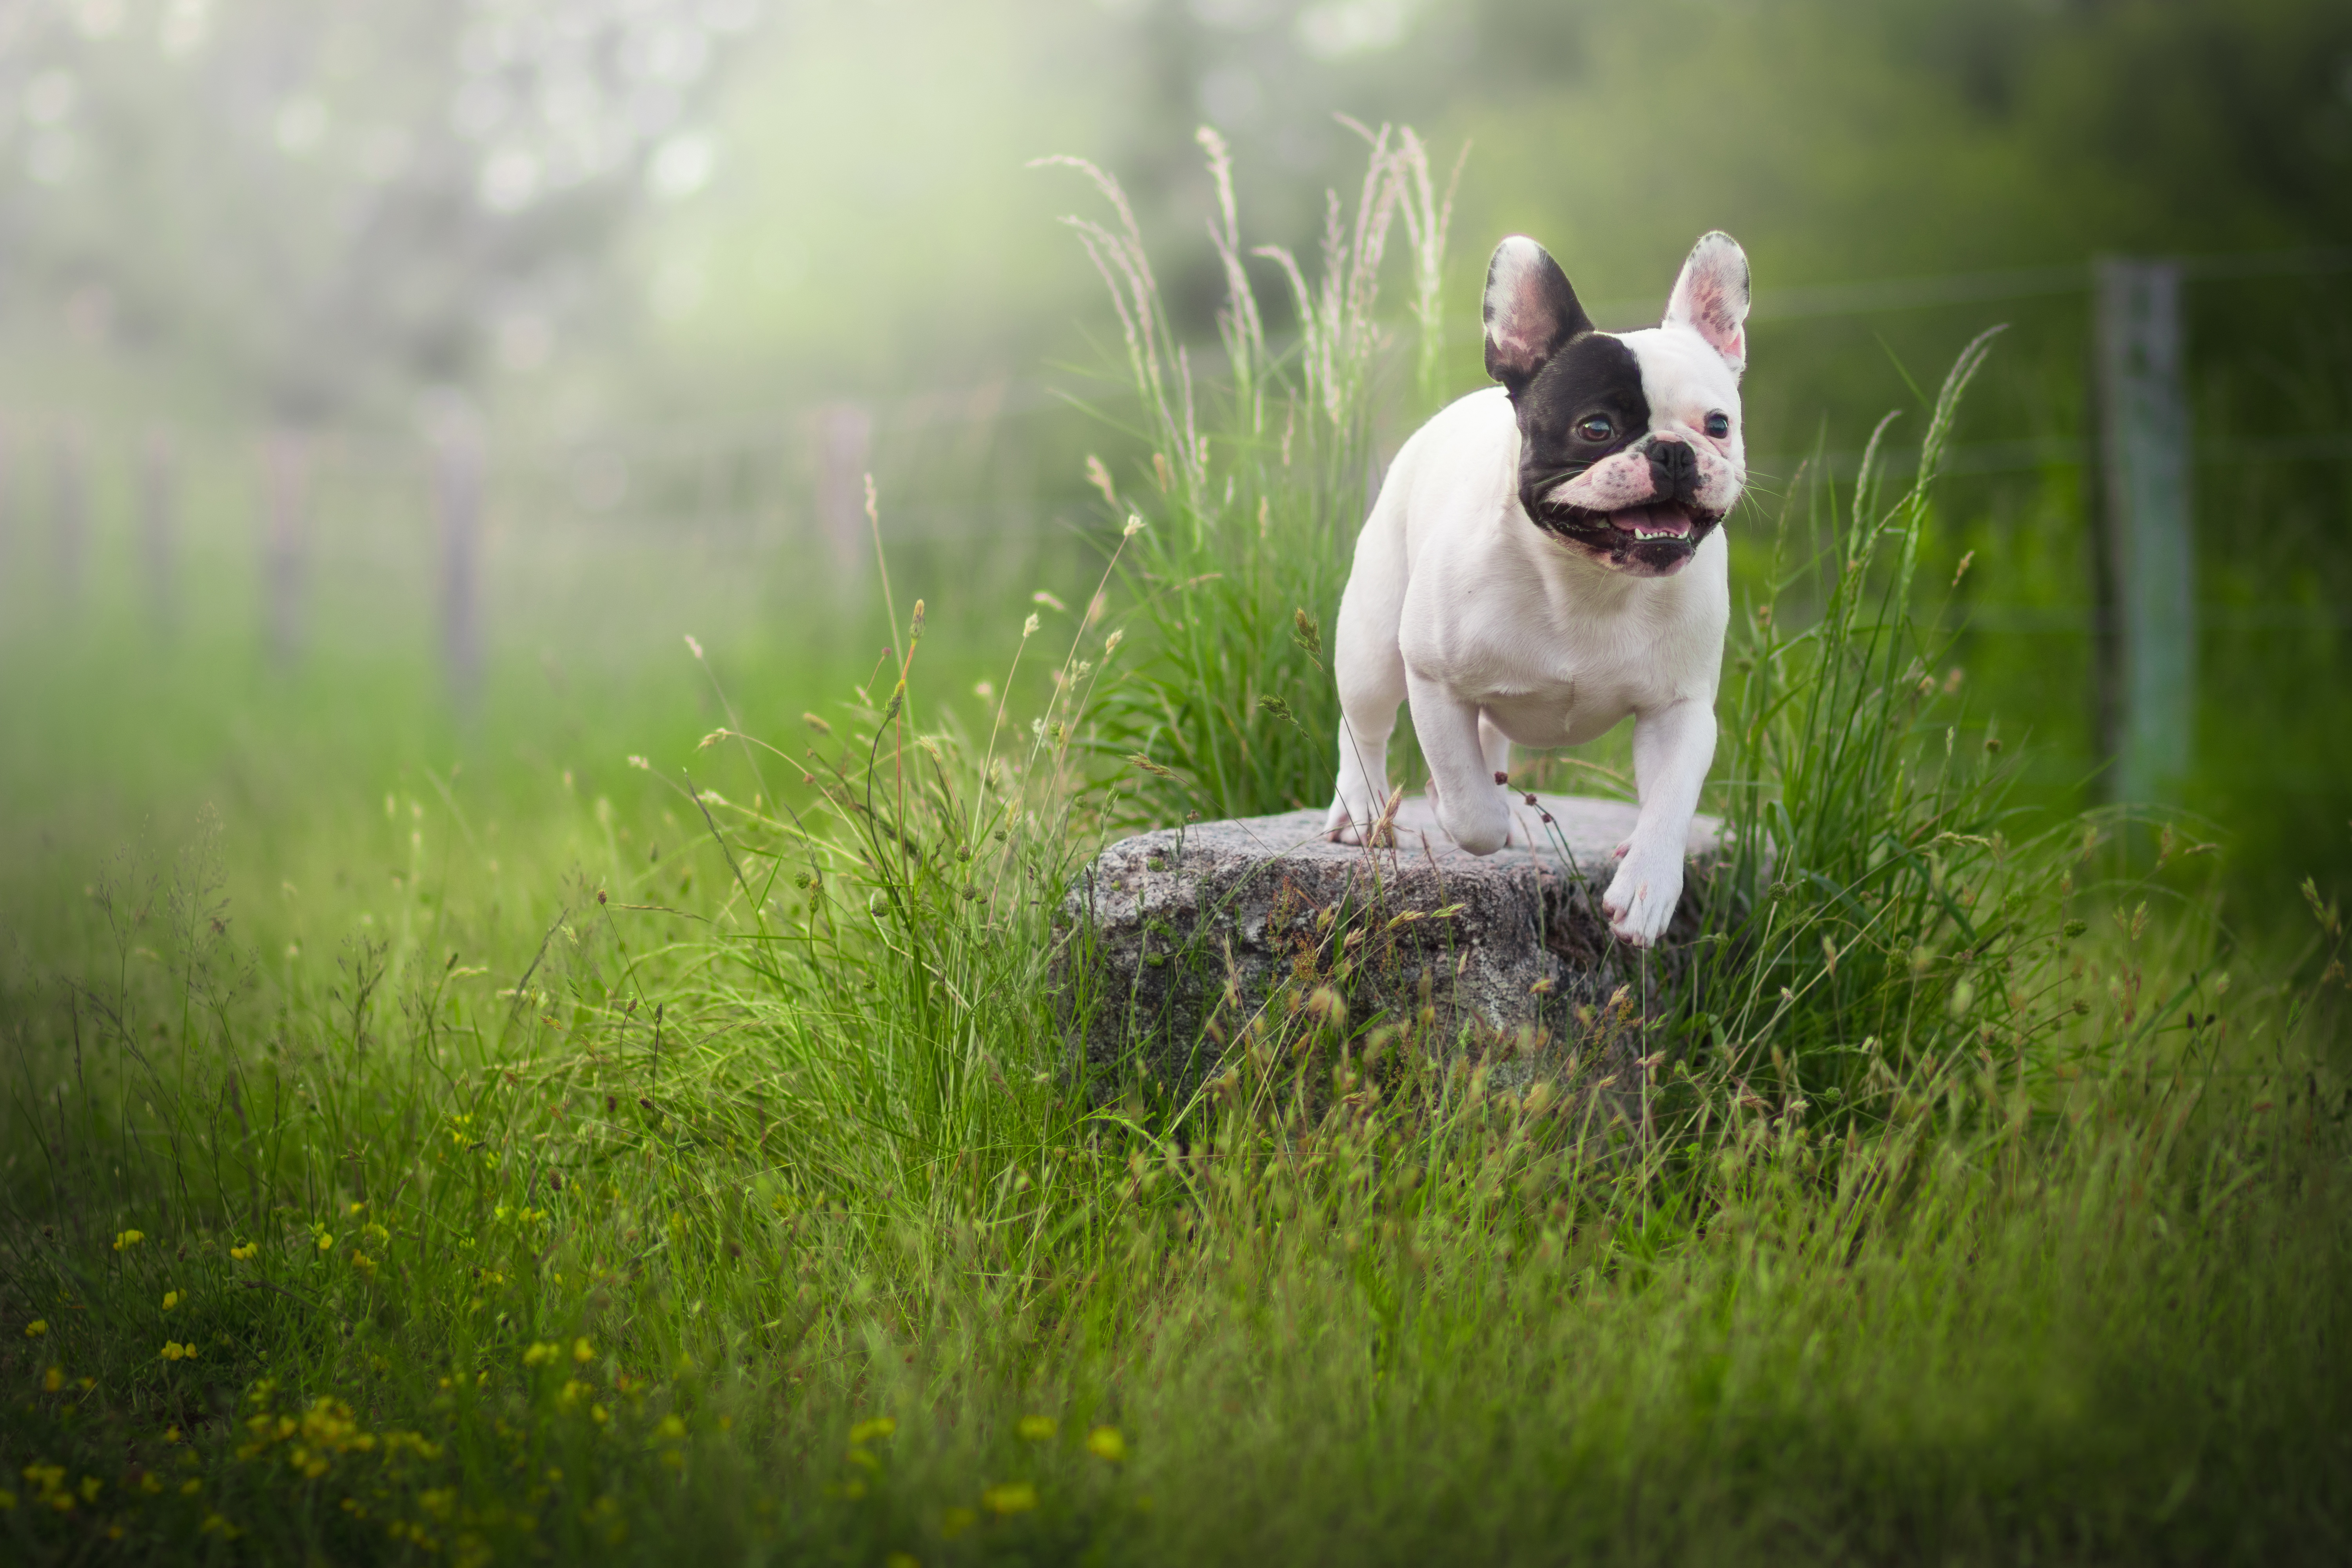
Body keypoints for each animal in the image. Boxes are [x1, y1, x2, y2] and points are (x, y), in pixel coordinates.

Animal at [1327, 230, 1750, 945]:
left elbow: (1670, 801)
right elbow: (1471, 810)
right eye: (1597, 429)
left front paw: (1647, 883)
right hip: (1373, 647)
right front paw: (1464, 815)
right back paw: (1359, 811)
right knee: (1365, 729)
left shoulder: (1681, 708)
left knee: (1485, 739)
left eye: (1717, 425)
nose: (1672, 450)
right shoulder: (1435, 682)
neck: (1589, 580)